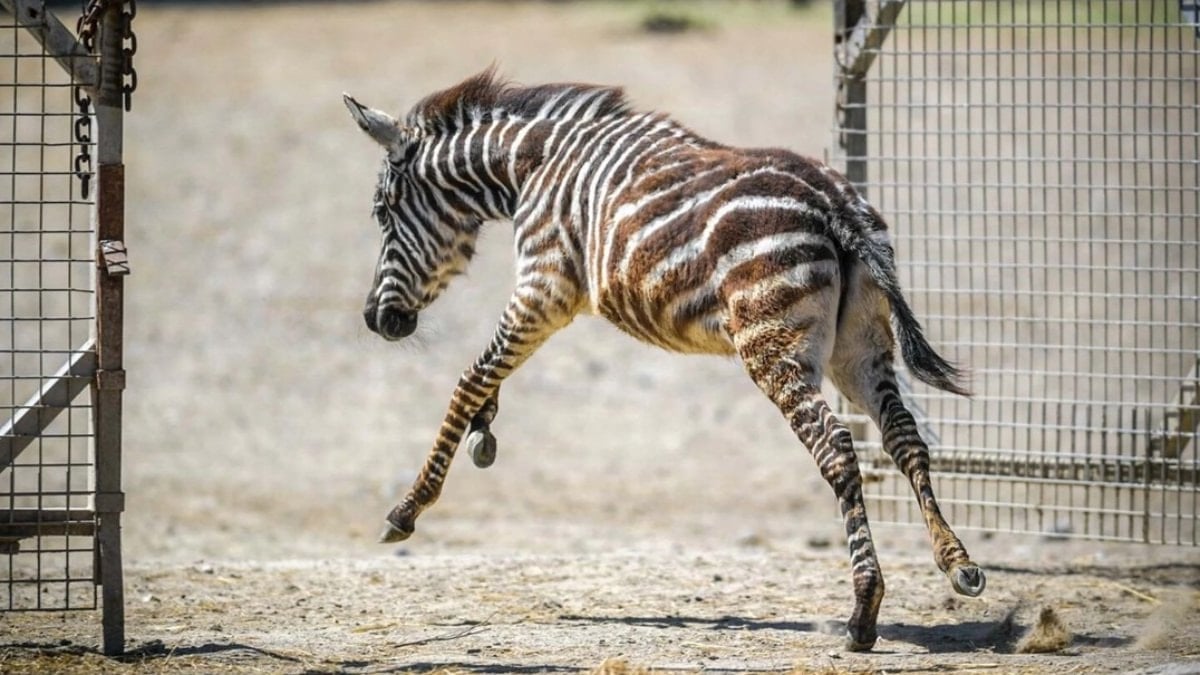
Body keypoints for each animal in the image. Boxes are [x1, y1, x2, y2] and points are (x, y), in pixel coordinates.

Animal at [343, 69, 985, 651]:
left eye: (383, 212)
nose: (377, 320)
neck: (530, 166)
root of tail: (836, 203)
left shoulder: (544, 286)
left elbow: (470, 377)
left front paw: (408, 507)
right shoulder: (542, 296)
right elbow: (489, 374)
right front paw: (485, 430)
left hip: (773, 344)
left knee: (837, 451)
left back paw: (862, 613)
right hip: (859, 348)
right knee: (906, 440)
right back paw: (956, 562)